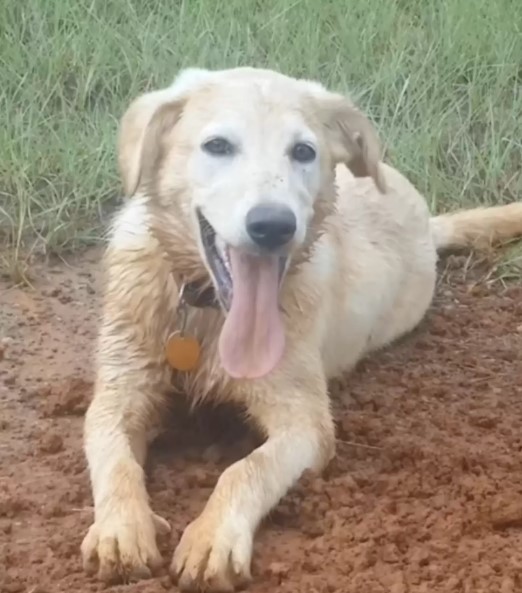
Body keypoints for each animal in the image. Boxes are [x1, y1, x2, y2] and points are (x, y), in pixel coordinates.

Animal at [80, 67, 520, 588]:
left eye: (304, 152)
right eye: (217, 145)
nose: (273, 225)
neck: (205, 314)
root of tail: (429, 223)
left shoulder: (307, 424)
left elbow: (246, 469)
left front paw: (213, 536)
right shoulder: (117, 394)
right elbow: (115, 458)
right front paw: (121, 527)